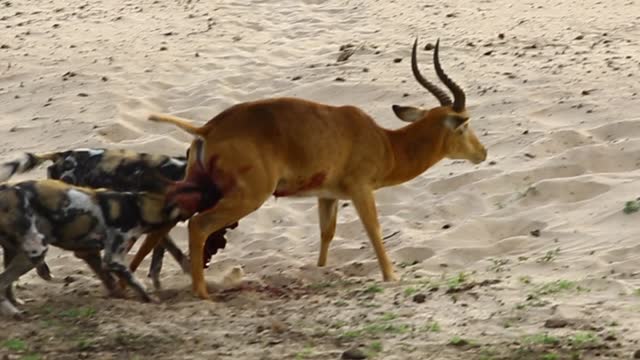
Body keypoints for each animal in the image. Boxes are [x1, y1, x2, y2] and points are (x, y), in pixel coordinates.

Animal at [0, 179, 192, 318]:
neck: (137, 207)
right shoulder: (112, 259)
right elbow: (137, 283)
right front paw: (151, 299)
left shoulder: (91, 253)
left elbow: (112, 282)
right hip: (34, 254)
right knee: (3, 282)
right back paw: (13, 312)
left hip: (15, 253)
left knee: (7, 285)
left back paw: (15, 304)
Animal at [144, 38, 484, 300]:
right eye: (465, 124)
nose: (482, 153)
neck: (385, 143)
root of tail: (209, 128)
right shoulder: (361, 190)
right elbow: (374, 230)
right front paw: (392, 277)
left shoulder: (327, 195)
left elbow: (326, 234)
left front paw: (321, 270)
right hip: (247, 197)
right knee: (198, 225)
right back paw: (201, 293)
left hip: (199, 188)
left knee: (164, 223)